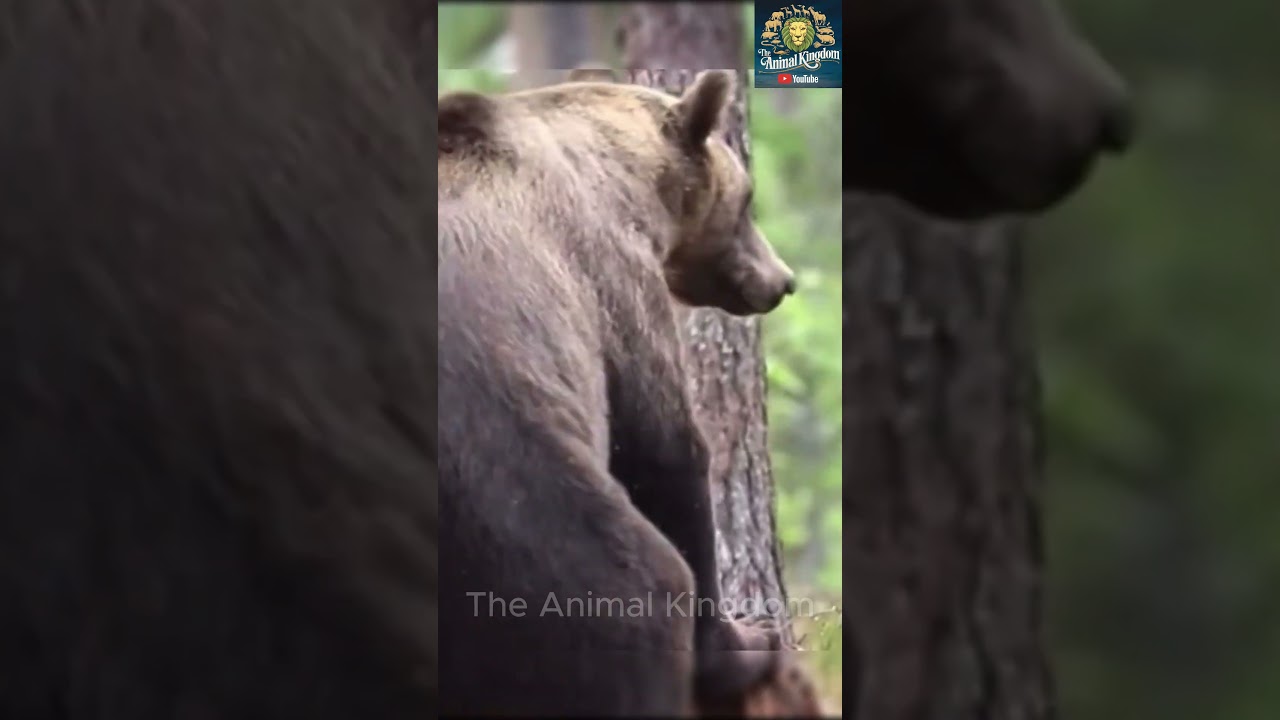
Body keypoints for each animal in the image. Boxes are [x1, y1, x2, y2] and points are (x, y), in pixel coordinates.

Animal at [438, 69, 794, 715]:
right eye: (747, 199)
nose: (782, 280)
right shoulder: (610, 280)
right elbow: (665, 451)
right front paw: (749, 642)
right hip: (514, 497)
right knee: (631, 597)